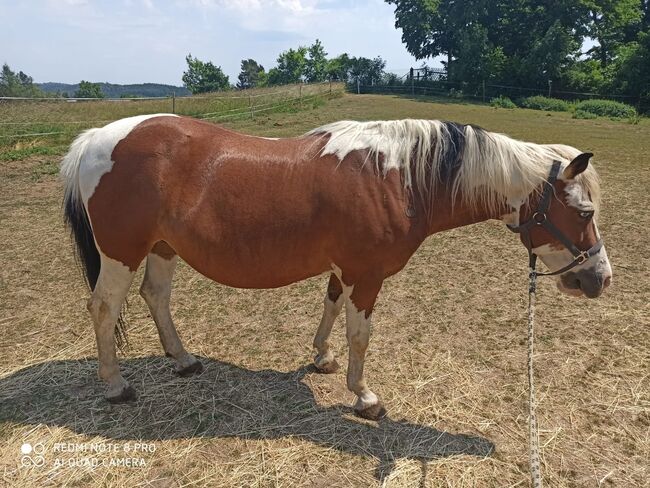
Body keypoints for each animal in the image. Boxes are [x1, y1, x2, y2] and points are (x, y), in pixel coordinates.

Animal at [58, 113, 612, 420]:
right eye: (585, 213)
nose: (599, 279)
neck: (399, 177)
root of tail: (97, 138)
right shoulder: (366, 275)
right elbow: (360, 335)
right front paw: (364, 396)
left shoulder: (343, 268)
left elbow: (329, 305)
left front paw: (322, 357)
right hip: (122, 253)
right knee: (103, 308)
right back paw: (116, 385)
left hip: (162, 248)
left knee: (155, 296)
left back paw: (184, 360)